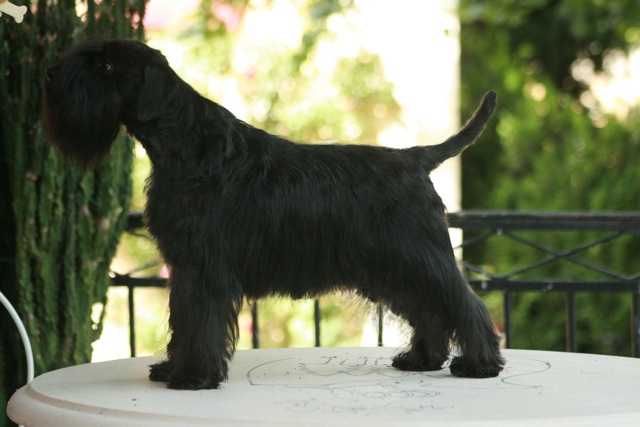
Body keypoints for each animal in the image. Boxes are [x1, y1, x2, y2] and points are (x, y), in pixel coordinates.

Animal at [45, 38, 504, 390]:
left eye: (106, 65)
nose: (49, 77)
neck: (186, 143)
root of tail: (416, 158)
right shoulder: (185, 266)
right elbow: (183, 322)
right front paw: (172, 368)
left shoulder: (206, 268)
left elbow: (200, 324)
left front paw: (193, 377)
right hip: (393, 270)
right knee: (430, 310)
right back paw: (422, 359)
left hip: (419, 259)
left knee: (465, 305)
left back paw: (478, 365)